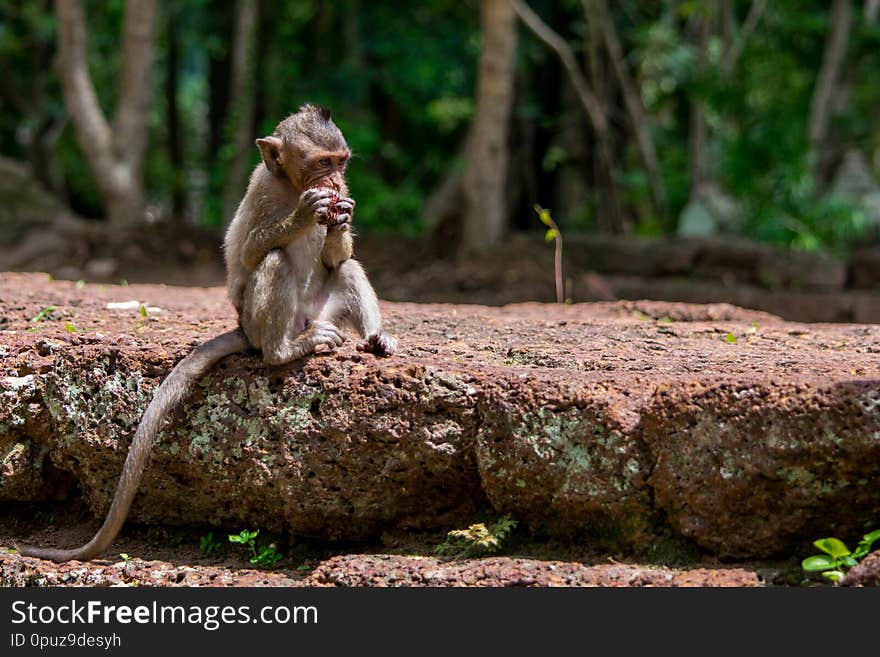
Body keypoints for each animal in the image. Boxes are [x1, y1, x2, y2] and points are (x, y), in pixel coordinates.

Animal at [18, 105, 398, 560]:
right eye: (323, 164)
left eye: (341, 163)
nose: (335, 184)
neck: (290, 187)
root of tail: (250, 330)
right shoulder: (260, 188)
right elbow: (248, 254)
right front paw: (304, 215)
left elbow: (336, 257)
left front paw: (341, 219)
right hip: (260, 323)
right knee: (274, 262)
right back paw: (285, 351)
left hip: (324, 312)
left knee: (346, 269)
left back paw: (375, 337)